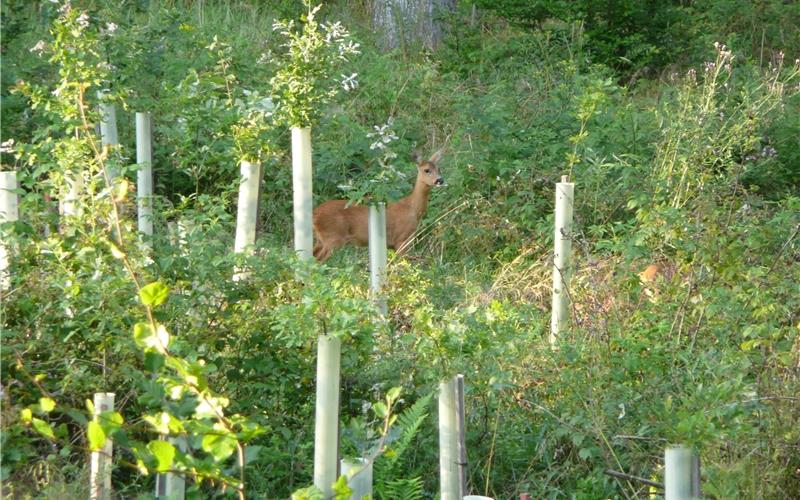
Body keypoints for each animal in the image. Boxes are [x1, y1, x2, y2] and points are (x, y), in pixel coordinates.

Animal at [310, 149, 444, 262]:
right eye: (427, 170)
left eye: (439, 169)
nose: (440, 180)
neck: (412, 209)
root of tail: (314, 214)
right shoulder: (402, 239)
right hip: (333, 238)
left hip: (321, 239)